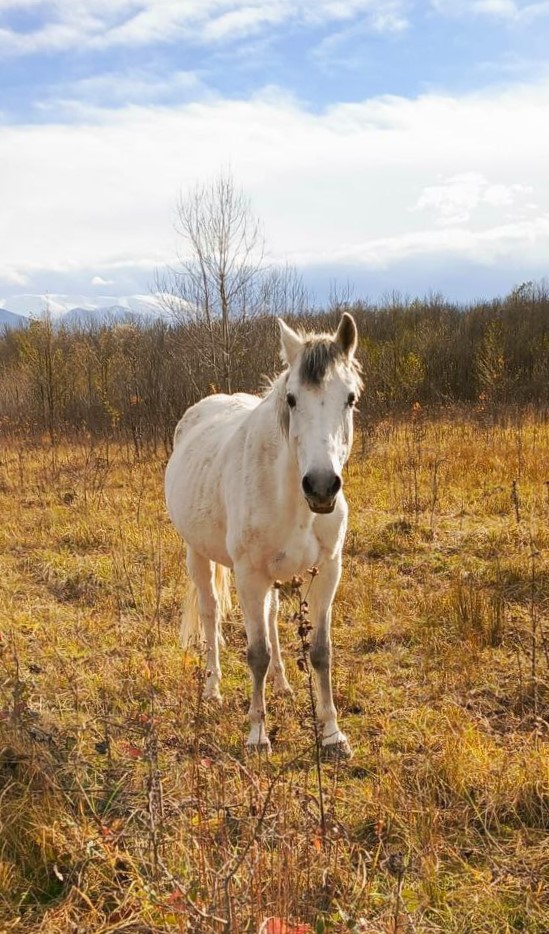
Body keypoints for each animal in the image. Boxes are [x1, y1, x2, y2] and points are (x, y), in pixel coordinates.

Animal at [165, 314, 362, 760]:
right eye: (291, 399)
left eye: (350, 398)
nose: (321, 486)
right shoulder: (249, 574)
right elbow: (256, 653)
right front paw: (257, 735)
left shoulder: (328, 571)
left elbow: (321, 652)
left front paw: (332, 734)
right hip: (198, 554)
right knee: (210, 614)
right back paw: (213, 689)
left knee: (270, 617)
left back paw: (283, 684)